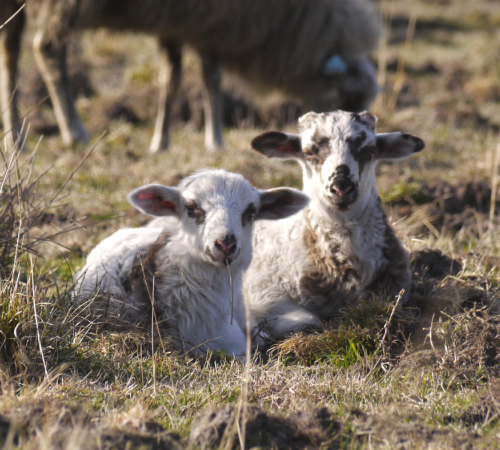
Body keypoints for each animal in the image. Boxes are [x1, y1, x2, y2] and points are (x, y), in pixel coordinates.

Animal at [0, 0, 378, 151]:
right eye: (344, 98)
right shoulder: (212, 23)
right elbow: (210, 76)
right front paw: (215, 138)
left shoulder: (181, 19)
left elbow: (172, 76)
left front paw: (161, 140)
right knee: (47, 49)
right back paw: (73, 130)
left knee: (9, 49)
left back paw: (15, 136)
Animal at [244, 110, 424, 340]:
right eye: (309, 152)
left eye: (369, 151)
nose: (342, 187)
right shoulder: (262, 294)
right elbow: (309, 321)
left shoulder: (395, 292)